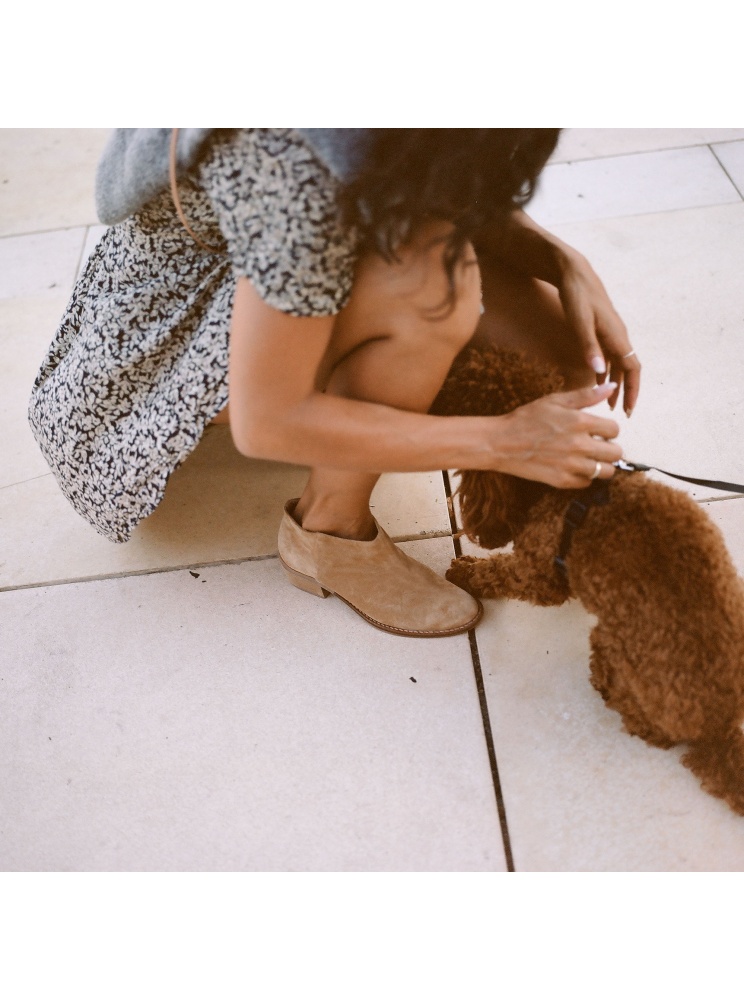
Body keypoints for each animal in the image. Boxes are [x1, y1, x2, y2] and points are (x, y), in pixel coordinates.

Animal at [430, 342, 744, 812]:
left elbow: (503, 573)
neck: (569, 491)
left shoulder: (538, 574)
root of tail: (720, 729)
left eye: (461, 389)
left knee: (650, 730)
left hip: (614, 645)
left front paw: (466, 572)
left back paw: (608, 686)